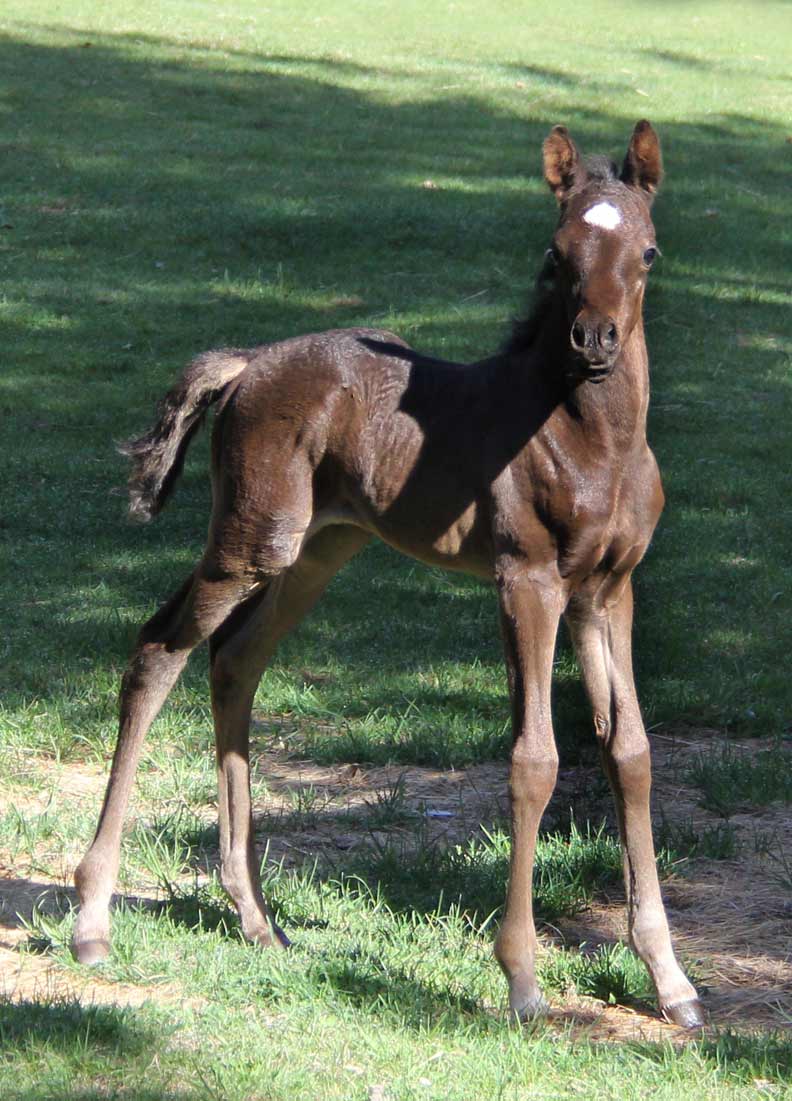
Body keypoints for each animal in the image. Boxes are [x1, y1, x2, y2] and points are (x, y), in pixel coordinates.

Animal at [74, 122, 704, 1030]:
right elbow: (535, 759)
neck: (594, 443)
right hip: (254, 539)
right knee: (160, 649)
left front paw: (671, 978)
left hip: (320, 547)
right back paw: (92, 917)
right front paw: (521, 979)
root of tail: (248, 363)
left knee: (236, 659)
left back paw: (255, 916)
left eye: (648, 250)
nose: (595, 340)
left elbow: (631, 753)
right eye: (557, 253)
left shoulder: (606, 592)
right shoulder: (527, 583)